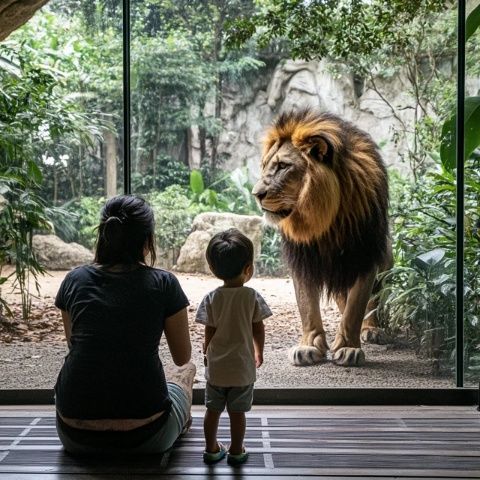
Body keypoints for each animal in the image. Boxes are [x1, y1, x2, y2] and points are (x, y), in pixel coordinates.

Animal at [251, 109, 390, 366]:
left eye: (283, 166)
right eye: (265, 166)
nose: (256, 194)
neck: (324, 219)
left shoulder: (365, 253)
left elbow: (357, 306)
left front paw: (348, 348)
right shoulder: (303, 257)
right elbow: (307, 306)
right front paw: (309, 346)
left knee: (372, 302)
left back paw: (371, 330)